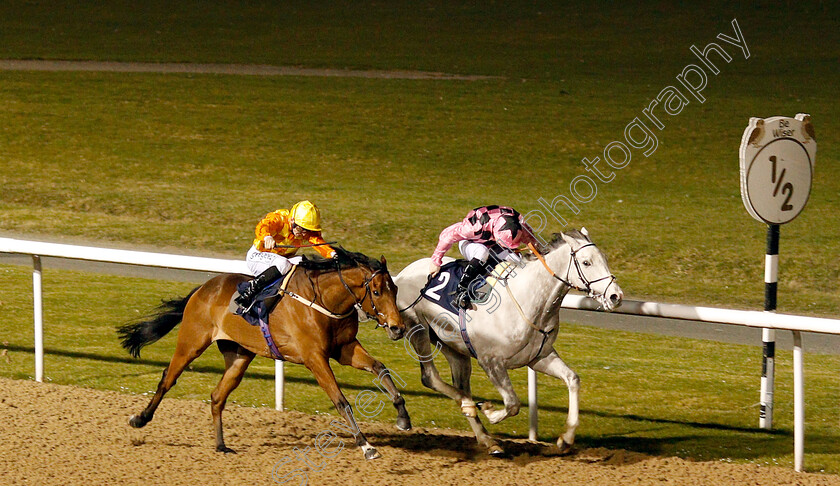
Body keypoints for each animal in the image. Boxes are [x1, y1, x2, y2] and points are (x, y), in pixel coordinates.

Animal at [115, 247, 410, 460]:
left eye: (395, 289)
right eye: (376, 291)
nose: (398, 328)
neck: (323, 300)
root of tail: (203, 288)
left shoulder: (345, 348)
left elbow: (380, 368)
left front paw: (403, 417)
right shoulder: (315, 358)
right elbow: (341, 401)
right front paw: (366, 446)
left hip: (239, 355)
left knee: (217, 396)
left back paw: (221, 445)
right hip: (192, 342)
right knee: (168, 378)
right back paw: (140, 418)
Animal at [390, 228, 620, 456]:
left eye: (604, 258)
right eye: (586, 262)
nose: (615, 295)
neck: (528, 299)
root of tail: (400, 275)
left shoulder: (539, 357)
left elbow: (573, 379)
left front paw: (567, 438)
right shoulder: (490, 361)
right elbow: (513, 403)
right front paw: (489, 411)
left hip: (454, 348)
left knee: (461, 386)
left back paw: (486, 437)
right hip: (417, 328)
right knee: (430, 377)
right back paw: (470, 406)